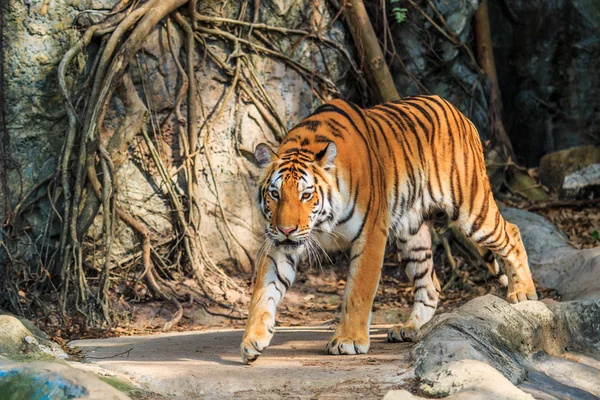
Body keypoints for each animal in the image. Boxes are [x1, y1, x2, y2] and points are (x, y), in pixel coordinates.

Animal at [241, 95, 536, 364]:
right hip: (412, 234)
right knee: (430, 284)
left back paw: (522, 292)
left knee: (511, 232)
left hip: (472, 208)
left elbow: (358, 291)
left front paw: (348, 340)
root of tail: (457, 111)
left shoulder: (371, 233)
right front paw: (252, 339)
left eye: (306, 195)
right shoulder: (279, 245)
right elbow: (263, 291)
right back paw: (411, 328)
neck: (322, 221)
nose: (286, 229)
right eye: (275, 194)